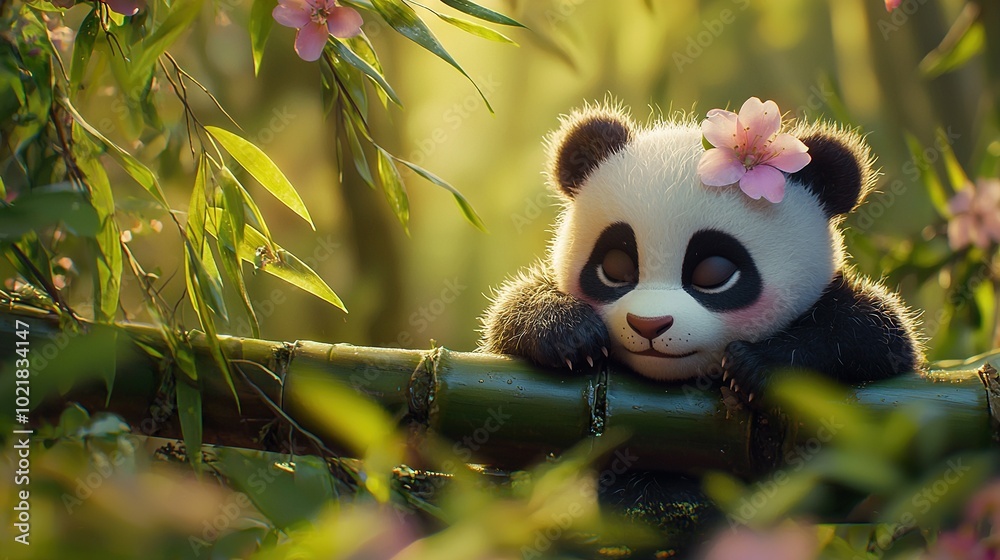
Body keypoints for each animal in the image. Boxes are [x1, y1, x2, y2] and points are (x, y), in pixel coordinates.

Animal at [479, 102, 923, 400]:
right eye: (616, 266)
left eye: (713, 273)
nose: (649, 325)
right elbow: (508, 312)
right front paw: (571, 335)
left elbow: (876, 334)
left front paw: (755, 364)